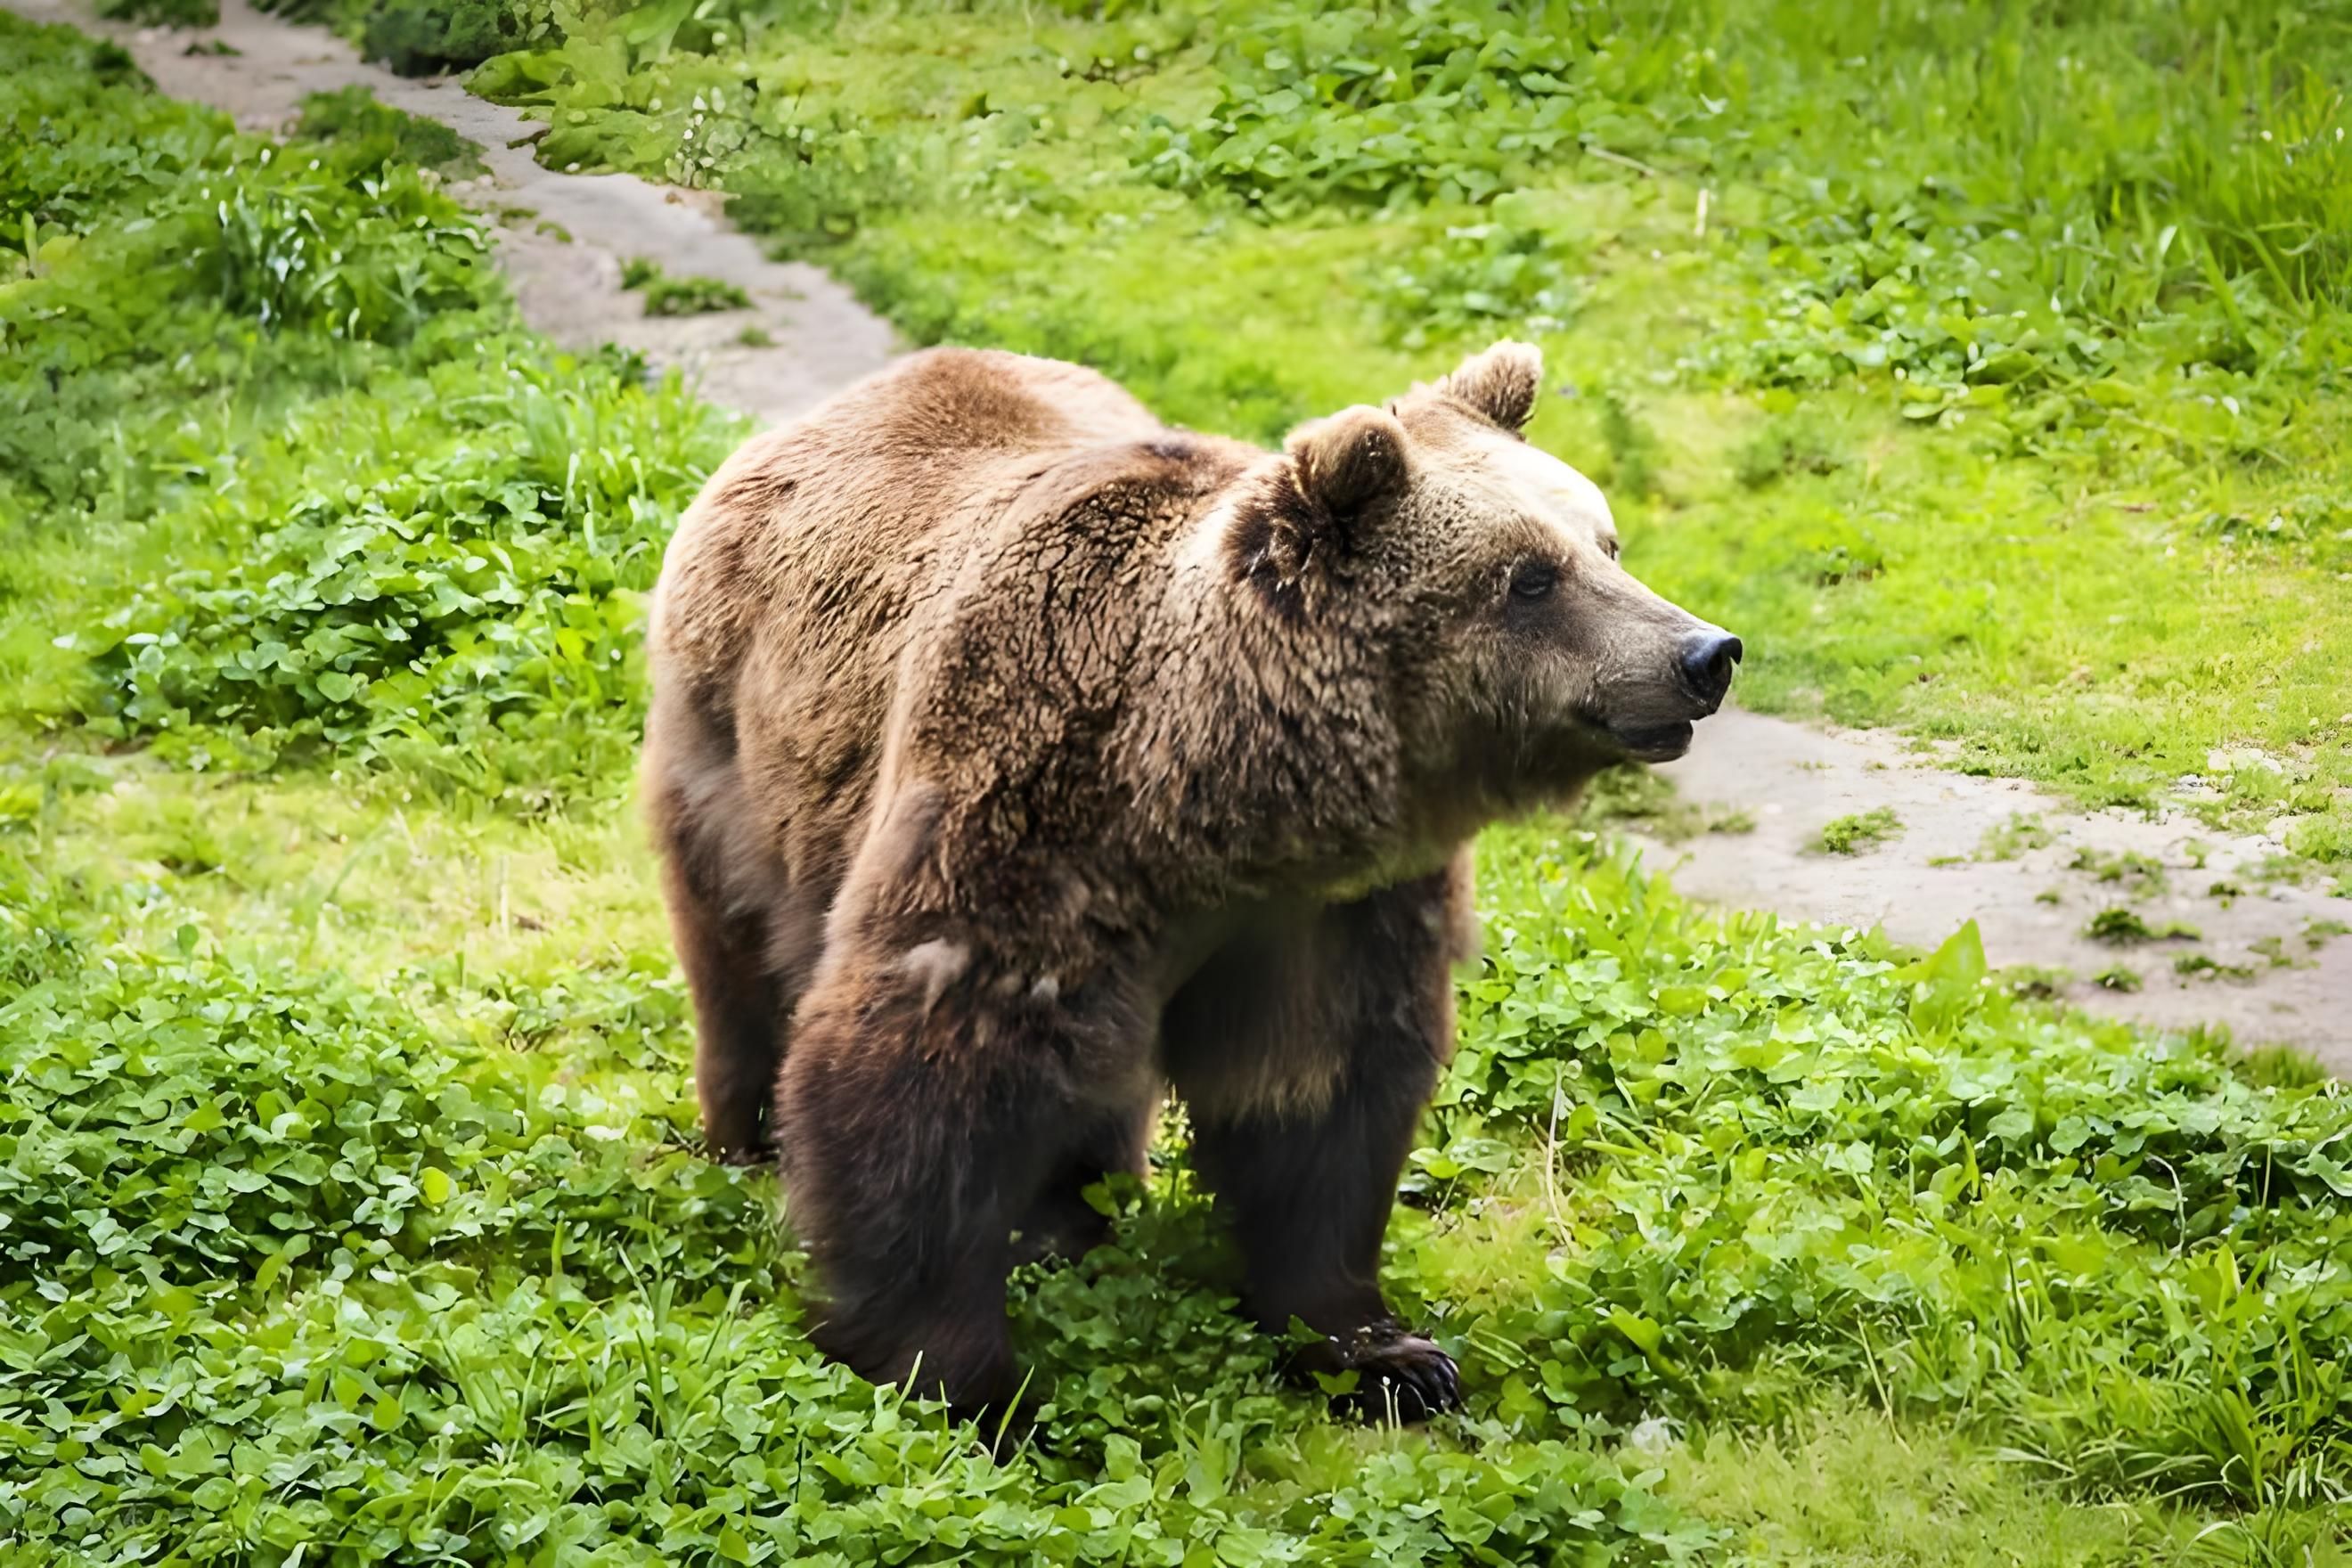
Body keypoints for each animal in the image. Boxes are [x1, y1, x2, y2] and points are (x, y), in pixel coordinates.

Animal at [641, 341, 1739, 1424]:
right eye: (1530, 576)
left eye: (1606, 543)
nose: (1705, 654)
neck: (1207, 795)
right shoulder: (1026, 812)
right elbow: (926, 1066)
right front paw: (960, 1377)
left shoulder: (1321, 910)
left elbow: (1321, 1096)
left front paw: (1387, 1354)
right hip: (740, 748)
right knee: (739, 947)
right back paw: (750, 1135)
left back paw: (1075, 1209)